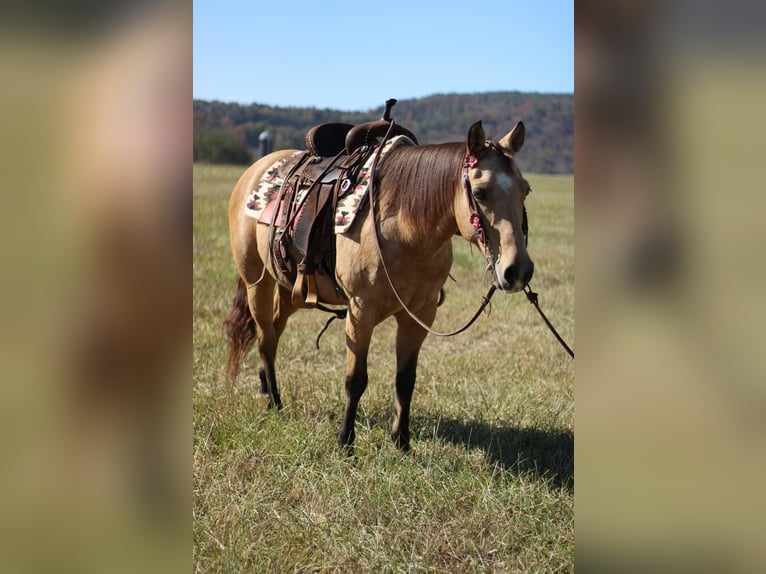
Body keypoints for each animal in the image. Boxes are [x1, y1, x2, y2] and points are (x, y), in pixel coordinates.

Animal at [224, 112, 536, 454]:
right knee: (266, 337)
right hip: (257, 282)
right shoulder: (361, 312)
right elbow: (355, 380)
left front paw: (402, 442)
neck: (405, 230)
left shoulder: (421, 315)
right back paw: (274, 402)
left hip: (290, 288)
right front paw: (345, 444)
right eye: (479, 193)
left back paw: (266, 389)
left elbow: (405, 379)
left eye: (525, 190)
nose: (517, 270)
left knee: (273, 331)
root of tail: (254, 171)